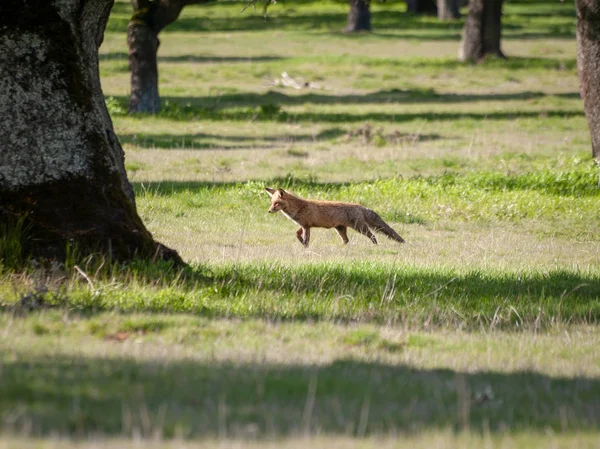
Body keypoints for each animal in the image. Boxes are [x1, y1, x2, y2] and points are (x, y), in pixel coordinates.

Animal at [264, 187, 406, 247]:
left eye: (276, 203)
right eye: (271, 203)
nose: (269, 211)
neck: (299, 208)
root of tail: (360, 206)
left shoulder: (306, 226)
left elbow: (306, 239)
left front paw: (305, 247)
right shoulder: (304, 225)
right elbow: (297, 234)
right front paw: (301, 243)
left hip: (359, 227)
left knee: (373, 236)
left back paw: (375, 246)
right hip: (340, 229)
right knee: (346, 240)